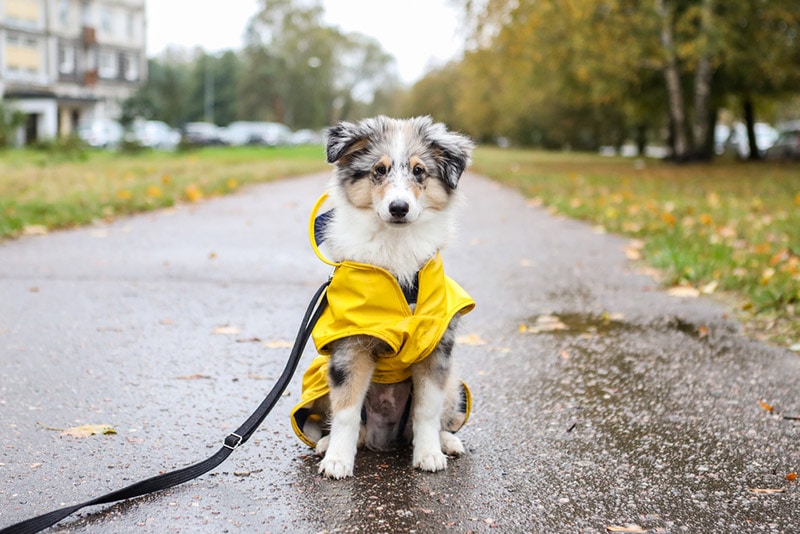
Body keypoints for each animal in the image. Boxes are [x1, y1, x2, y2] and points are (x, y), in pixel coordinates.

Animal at [290, 117, 472, 482]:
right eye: (379, 170)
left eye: (419, 171)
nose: (398, 208)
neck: (395, 247)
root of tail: (382, 436)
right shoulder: (351, 346)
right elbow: (346, 409)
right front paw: (337, 460)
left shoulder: (436, 347)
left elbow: (426, 410)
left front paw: (429, 453)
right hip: (320, 380)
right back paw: (326, 443)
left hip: (452, 383)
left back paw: (447, 441)